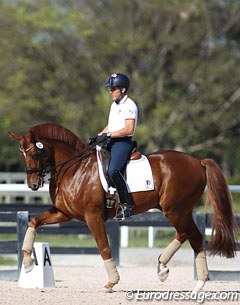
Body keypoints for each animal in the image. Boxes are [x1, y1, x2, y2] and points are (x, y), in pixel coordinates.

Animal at [8, 123, 236, 290]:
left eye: (35, 154)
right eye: (22, 154)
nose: (33, 185)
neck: (74, 169)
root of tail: (198, 161)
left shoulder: (92, 215)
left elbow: (104, 247)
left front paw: (112, 282)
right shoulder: (63, 213)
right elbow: (33, 222)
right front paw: (28, 262)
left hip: (175, 210)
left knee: (191, 235)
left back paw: (187, 277)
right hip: (179, 211)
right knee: (189, 235)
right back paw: (174, 272)